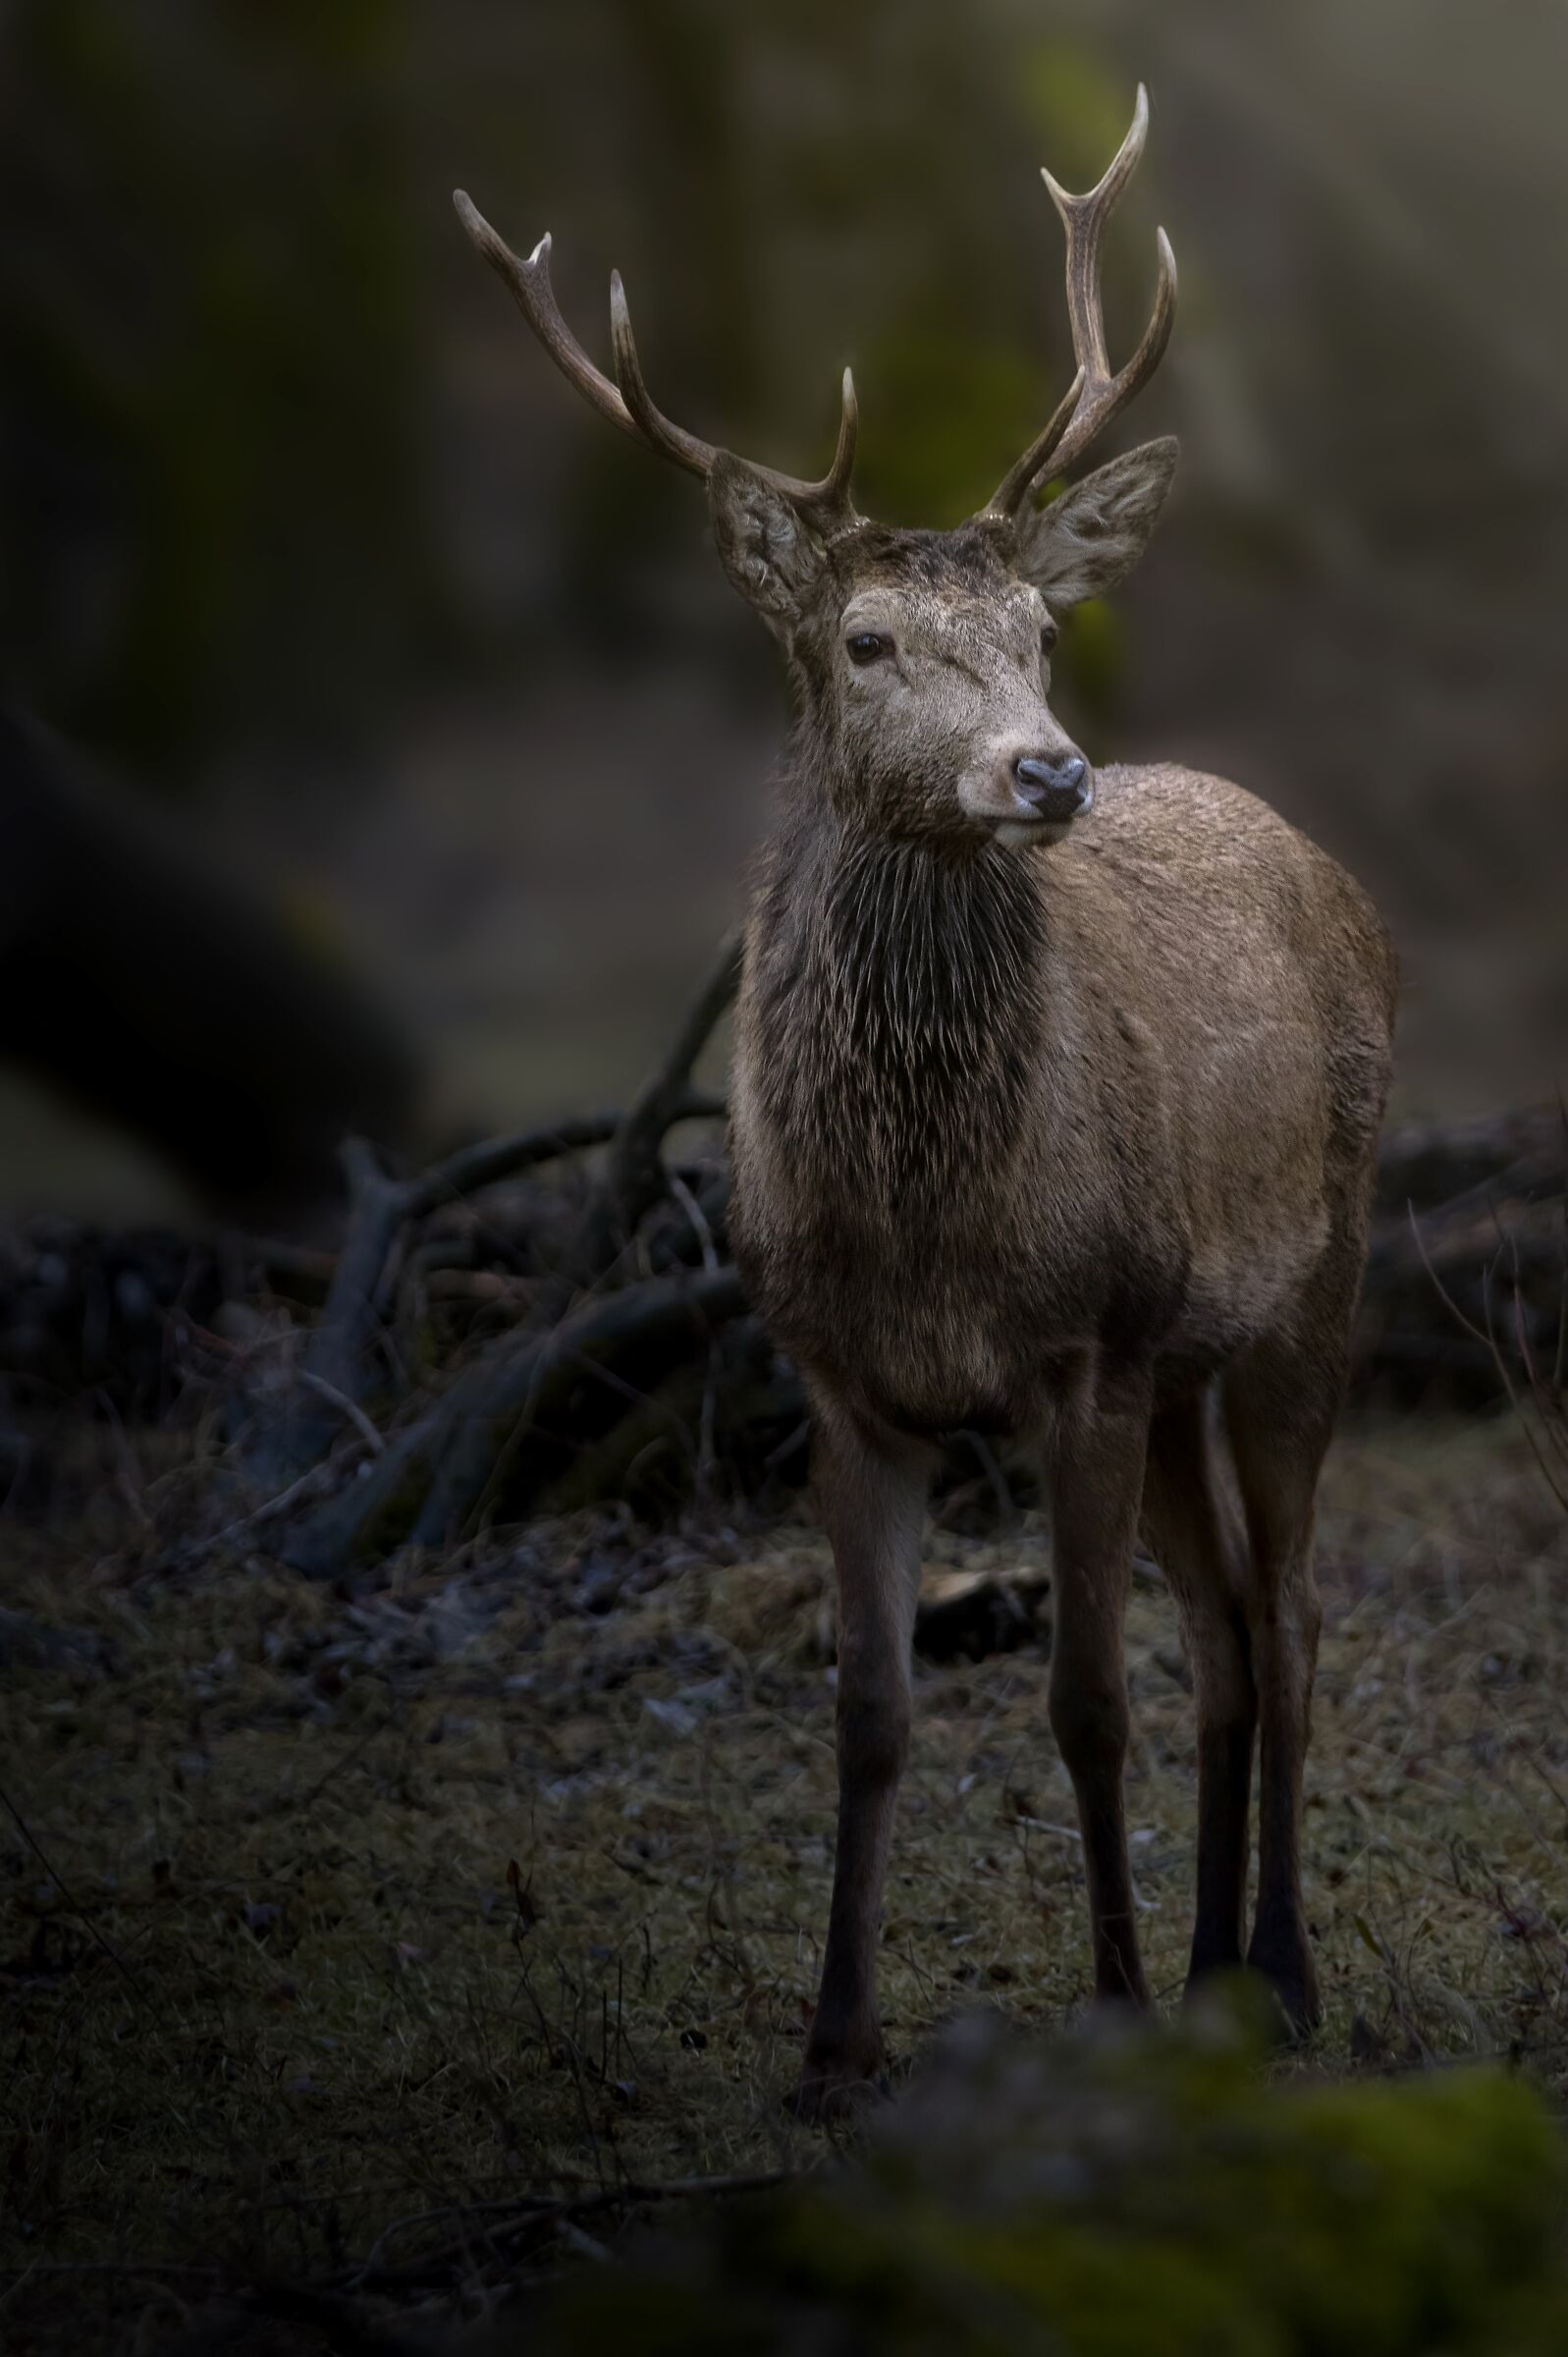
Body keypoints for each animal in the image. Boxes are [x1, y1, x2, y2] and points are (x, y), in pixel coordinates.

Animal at [455, 84, 1397, 2118]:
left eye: (1041, 631)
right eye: (867, 641)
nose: (1050, 769)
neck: (934, 1222)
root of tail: (1319, 856)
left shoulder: (1079, 1346)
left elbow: (1083, 1700)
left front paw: (1104, 2010)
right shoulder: (837, 1371)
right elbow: (872, 1712)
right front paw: (832, 2047)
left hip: (1311, 1282)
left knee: (1284, 1615)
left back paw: (1279, 1975)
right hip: (1185, 1358)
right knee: (1223, 1625)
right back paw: (1217, 1971)